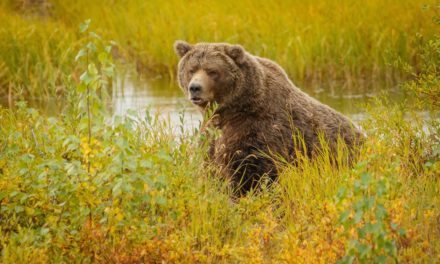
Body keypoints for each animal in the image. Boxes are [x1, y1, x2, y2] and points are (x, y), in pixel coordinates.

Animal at [174, 40, 362, 194]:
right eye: (191, 69)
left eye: (212, 71)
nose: (195, 88)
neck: (234, 110)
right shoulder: (212, 132)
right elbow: (210, 164)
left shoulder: (260, 130)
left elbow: (251, 172)